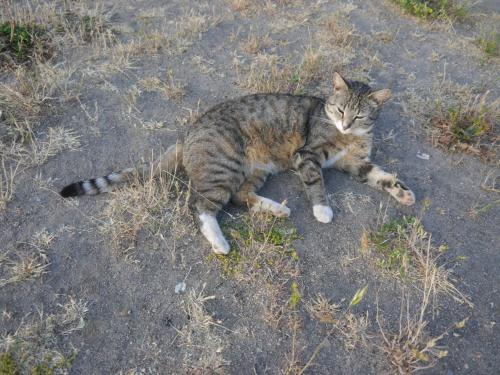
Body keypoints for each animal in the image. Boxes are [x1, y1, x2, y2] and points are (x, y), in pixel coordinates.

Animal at [60, 72, 416, 256]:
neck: (348, 137)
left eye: (359, 115)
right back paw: (220, 242)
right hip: (224, 168)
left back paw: (276, 209)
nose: (344, 124)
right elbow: (317, 182)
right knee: (201, 206)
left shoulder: (356, 164)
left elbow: (383, 176)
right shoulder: (308, 155)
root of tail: (189, 132)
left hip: (256, 170)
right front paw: (322, 210)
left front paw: (403, 192)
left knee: (239, 197)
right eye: (340, 110)